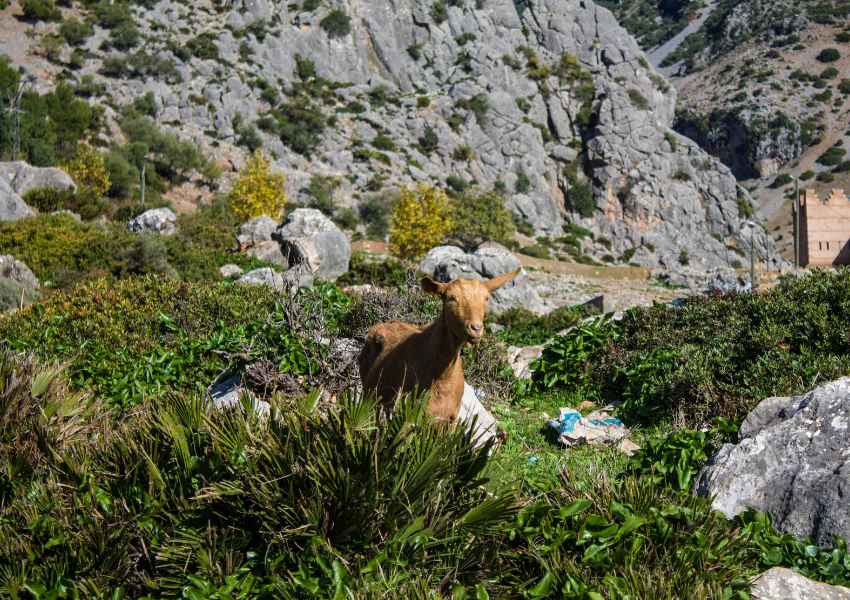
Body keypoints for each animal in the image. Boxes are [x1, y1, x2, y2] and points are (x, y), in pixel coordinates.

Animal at [356, 270, 520, 424]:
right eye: (451, 298)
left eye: (486, 298)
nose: (476, 328)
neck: (442, 376)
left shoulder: (450, 418)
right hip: (369, 395)